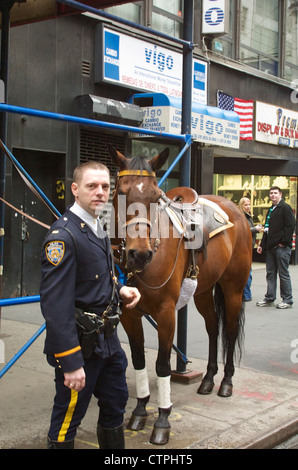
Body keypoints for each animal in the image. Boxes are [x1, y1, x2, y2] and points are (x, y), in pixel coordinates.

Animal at [108, 145, 253, 446]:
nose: (139, 254)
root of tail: (237, 210)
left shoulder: (165, 313)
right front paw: (140, 411)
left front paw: (162, 420)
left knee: (230, 330)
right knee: (213, 327)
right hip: (203, 292)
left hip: (233, 289)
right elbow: (138, 361)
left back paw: (226, 382)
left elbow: (163, 365)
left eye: (155, 197)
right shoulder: (129, 315)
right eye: (121, 192)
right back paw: (208, 379)